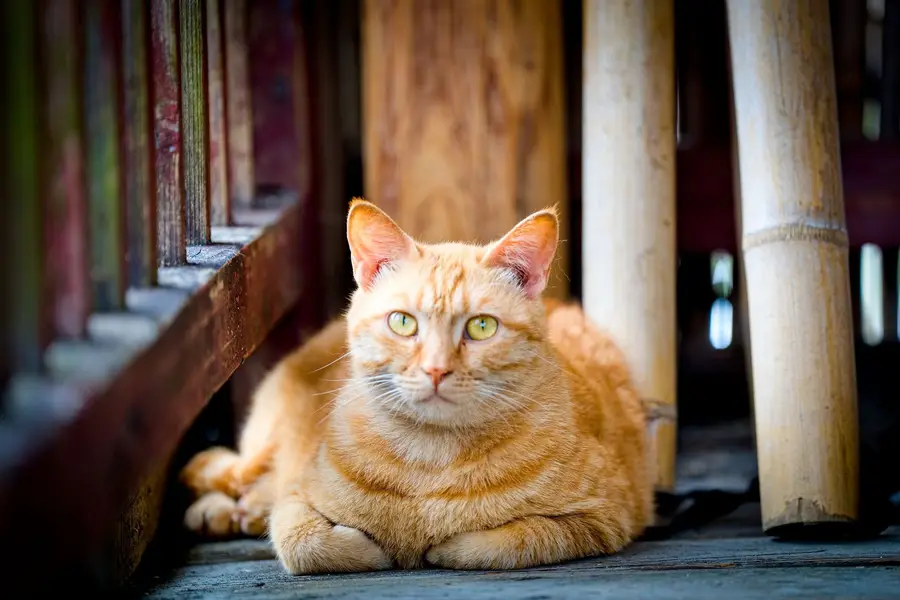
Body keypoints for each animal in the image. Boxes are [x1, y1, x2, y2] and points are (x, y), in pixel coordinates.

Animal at [179, 200, 652, 572]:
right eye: (403, 322)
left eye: (481, 327)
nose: (436, 369)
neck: (429, 459)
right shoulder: (297, 500)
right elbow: (304, 543)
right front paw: (378, 546)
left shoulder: (604, 517)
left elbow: (510, 541)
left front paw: (438, 545)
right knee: (235, 472)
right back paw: (224, 509)